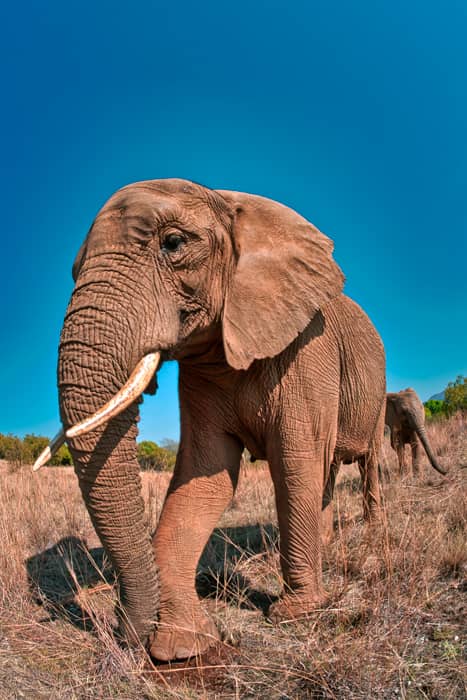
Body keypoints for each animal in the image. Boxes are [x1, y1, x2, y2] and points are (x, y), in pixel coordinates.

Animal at [35, 178, 386, 661]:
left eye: (173, 243)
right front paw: (182, 646)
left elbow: (294, 464)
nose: (125, 629)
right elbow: (206, 475)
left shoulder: (307, 350)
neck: (231, 202)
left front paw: (296, 616)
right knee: (327, 471)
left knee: (361, 463)